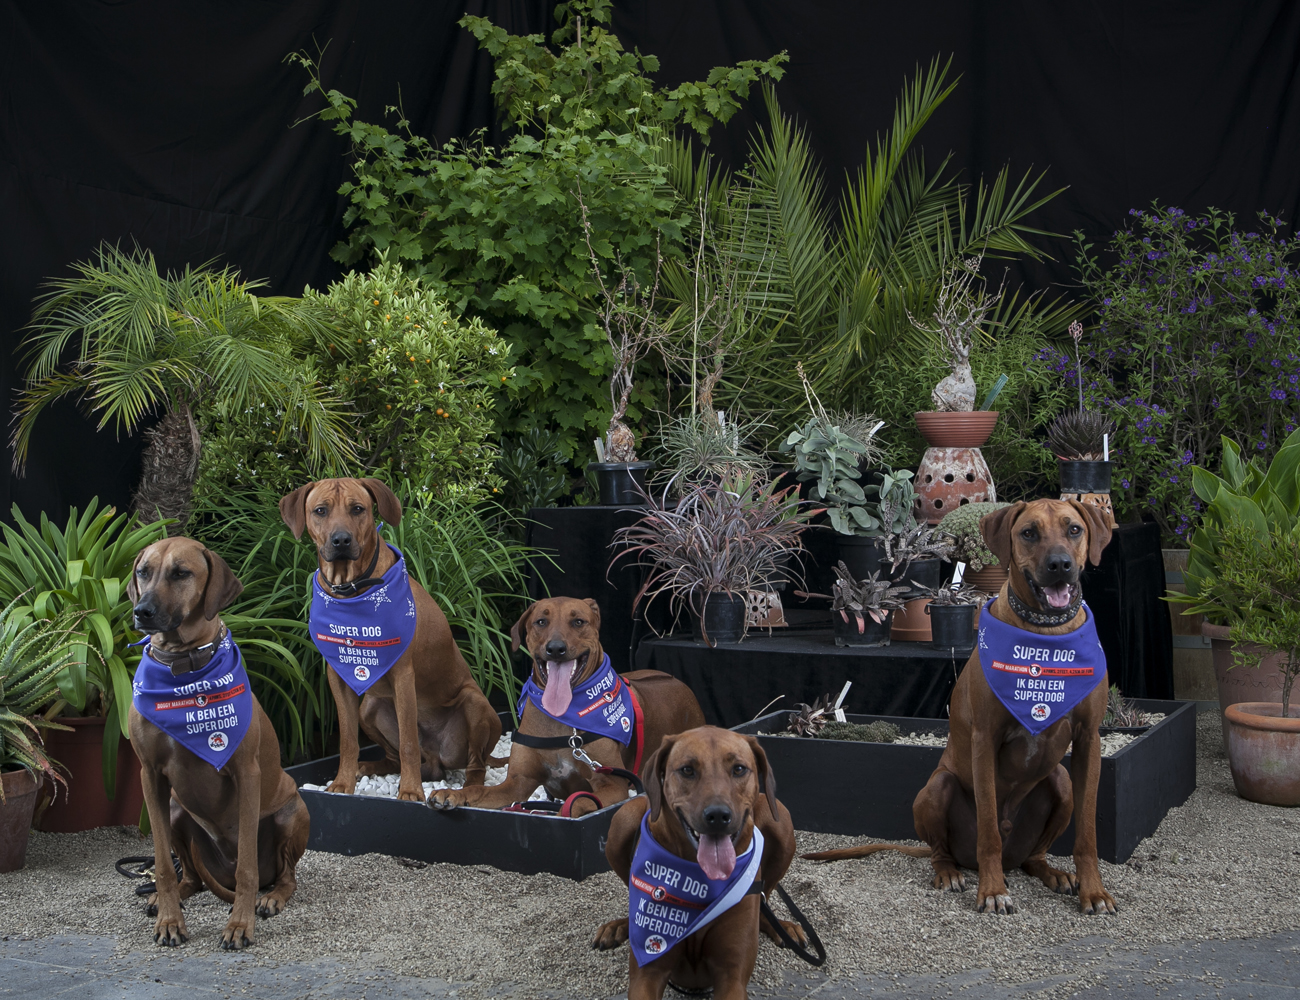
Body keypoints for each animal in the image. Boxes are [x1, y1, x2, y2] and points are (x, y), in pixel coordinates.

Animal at [126, 535, 309, 946]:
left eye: (181, 573)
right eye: (143, 571)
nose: (142, 611)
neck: (182, 671)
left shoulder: (246, 773)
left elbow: (247, 870)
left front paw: (240, 924)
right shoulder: (149, 776)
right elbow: (163, 865)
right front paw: (170, 920)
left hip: (293, 810)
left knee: (283, 875)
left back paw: (271, 898)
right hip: (176, 810)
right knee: (191, 875)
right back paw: (169, 898)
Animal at [280, 475, 501, 801]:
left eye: (358, 509)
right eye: (320, 510)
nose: (341, 540)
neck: (352, 592)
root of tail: (436, 758)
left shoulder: (403, 676)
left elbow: (409, 741)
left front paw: (410, 791)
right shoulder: (338, 677)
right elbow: (348, 740)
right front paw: (342, 784)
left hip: (475, 705)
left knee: (475, 766)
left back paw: (461, 792)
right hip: (369, 707)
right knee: (396, 758)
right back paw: (369, 767)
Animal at [428, 598, 707, 816]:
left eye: (579, 622)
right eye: (541, 621)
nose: (555, 648)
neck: (561, 718)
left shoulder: (612, 783)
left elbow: (579, 802)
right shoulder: (517, 782)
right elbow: (478, 789)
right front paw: (451, 793)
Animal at [595, 728, 806, 998]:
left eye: (739, 769)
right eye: (687, 770)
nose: (718, 815)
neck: (698, 879)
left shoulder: (732, 976)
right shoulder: (647, 973)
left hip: (779, 817)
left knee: (764, 899)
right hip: (624, 817)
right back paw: (619, 926)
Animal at [800, 496, 1118, 915]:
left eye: (1074, 529)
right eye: (1029, 532)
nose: (1060, 564)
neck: (1044, 637)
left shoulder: (1087, 741)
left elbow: (1088, 834)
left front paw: (1093, 891)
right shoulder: (985, 739)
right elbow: (988, 830)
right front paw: (992, 890)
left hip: (1060, 782)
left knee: (1035, 854)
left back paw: (1052, 872)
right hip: (938, 788)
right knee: (945, 849)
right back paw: (951, 872)